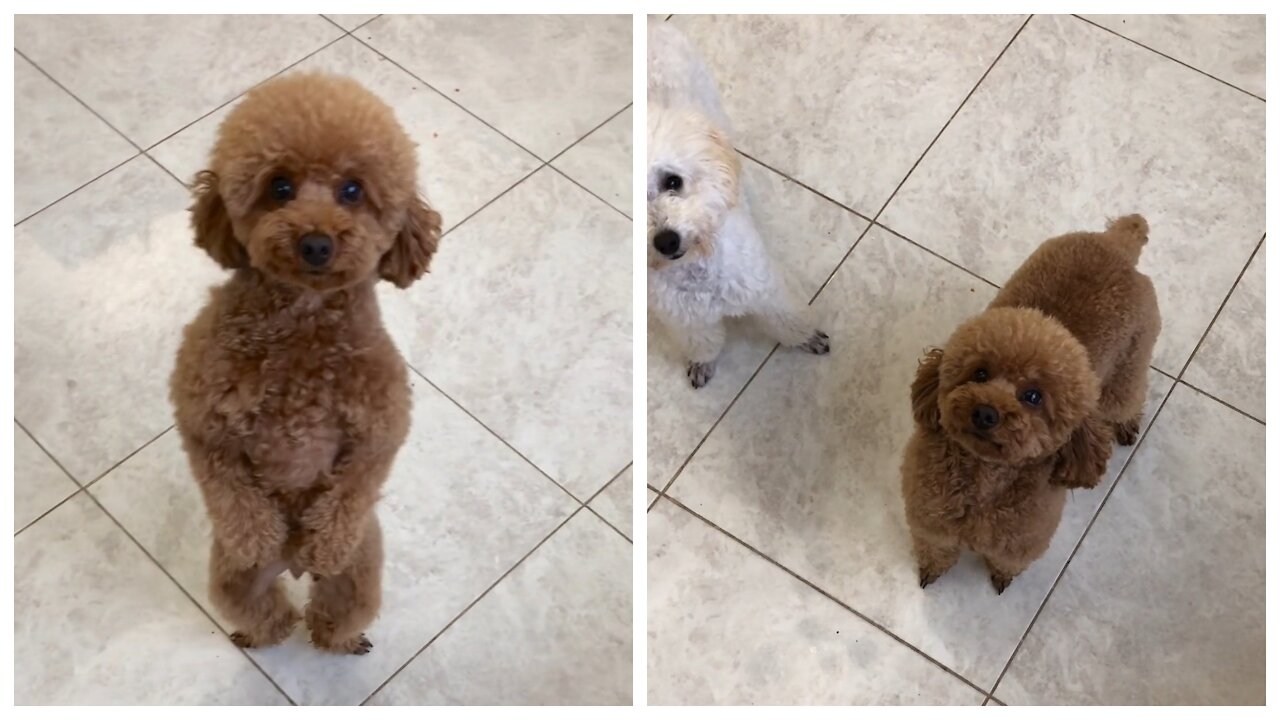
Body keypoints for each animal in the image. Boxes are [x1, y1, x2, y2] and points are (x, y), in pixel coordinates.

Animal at [170, 71, 440, 650]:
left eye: (353, 190)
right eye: (280, 187)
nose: (316, 243)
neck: (302, 329)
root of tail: (292, 566)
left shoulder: (381, 428)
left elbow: (355, 488)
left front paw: (328, 543)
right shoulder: (203, 420)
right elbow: (228, 490)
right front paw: (256, 535)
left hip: (361, 575)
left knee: (333, 614)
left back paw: (339, 633)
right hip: (232, 581)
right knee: (267, 612)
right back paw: (260, 628)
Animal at [650, 20, 829, 386]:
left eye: (672, 181)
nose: (666, 241)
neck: (698, 268)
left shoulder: (765, 290)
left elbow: (787, 320)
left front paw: (806, 337)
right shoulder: (687, 321)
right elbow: (703, 343)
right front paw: (702, 363)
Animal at [901, 213, 1162, 594]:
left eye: (1034, 396)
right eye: (980, 373)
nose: (985, 412)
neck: (982, 480)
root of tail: (1117, 243)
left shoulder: (1021, 543)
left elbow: (1006, 563)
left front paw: (1000, 578)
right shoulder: (931, 522)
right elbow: (937, 552)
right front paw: (931, 571)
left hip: (1127, 371)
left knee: (1130, 398)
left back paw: (1127, 425)